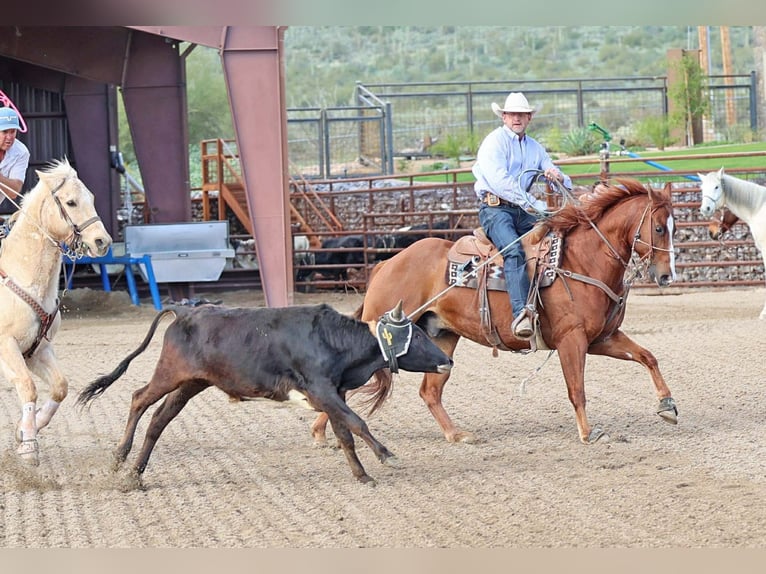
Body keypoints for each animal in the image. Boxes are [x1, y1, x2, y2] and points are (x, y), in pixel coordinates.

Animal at [0, 159, 112, 464]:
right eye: (71, 202)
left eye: (92, 199)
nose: (102, 242)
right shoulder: (6, 346)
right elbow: (27, 386)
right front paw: (28, 445)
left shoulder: (38, 350)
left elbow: (60, 386)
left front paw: (27, 429)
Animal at [311, 178, 678, 446]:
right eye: (660, 228)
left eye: (674, 227)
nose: (666, 276)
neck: (581, 260)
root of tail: (386, 264)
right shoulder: (571, 341)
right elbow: (577, 389)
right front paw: (589, 433)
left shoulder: (602, 338)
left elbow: (648, 357)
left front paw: (667, 406)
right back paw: (321, 432)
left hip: (442, 338)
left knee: (429, 391)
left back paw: (456, 434)